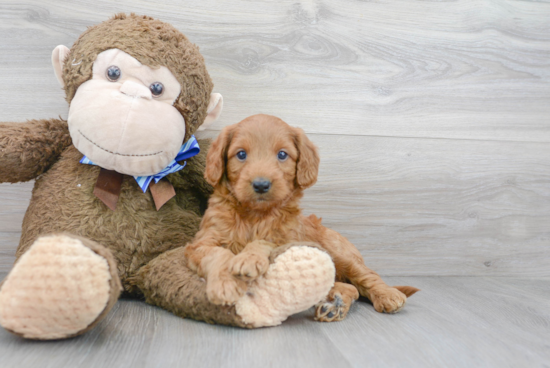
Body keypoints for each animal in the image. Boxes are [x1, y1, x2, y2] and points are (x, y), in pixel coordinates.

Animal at [183, 113, 420, 320]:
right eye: (241, 154)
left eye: (282, 154)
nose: (261, 184)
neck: (255, 215)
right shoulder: (201, 242)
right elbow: (218, 253)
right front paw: (225, 284)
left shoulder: (289, 240)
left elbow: (264, 242)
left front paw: (248, 259)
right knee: (347, 286)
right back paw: (334, 305)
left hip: (340, 253)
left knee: (365, 276)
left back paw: (387, 295)